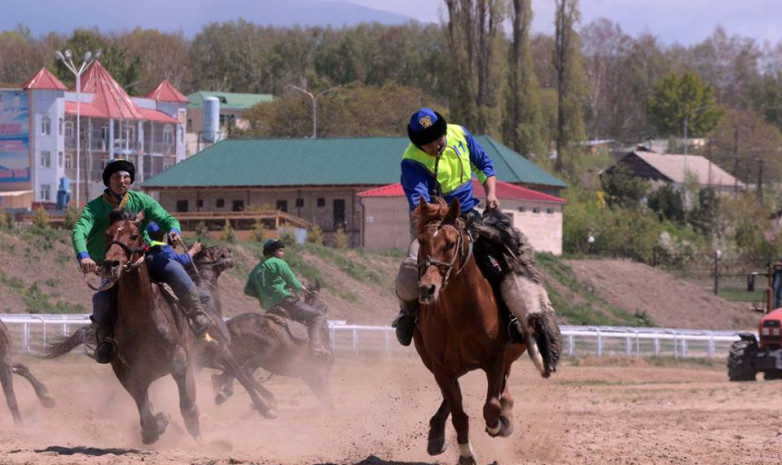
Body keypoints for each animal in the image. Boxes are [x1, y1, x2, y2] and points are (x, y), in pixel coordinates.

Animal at [414, 197, 560, 464]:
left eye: (450, 243)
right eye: (421, 241)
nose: (427, 289)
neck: (457, 315)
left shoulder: (495, 359)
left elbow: (491, 406)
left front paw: (499, 424)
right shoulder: (441, 367)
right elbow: (459, 414)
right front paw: (465, 454)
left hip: (506, 357)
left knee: (501, 391)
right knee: (452, 398)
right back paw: (436, 433)